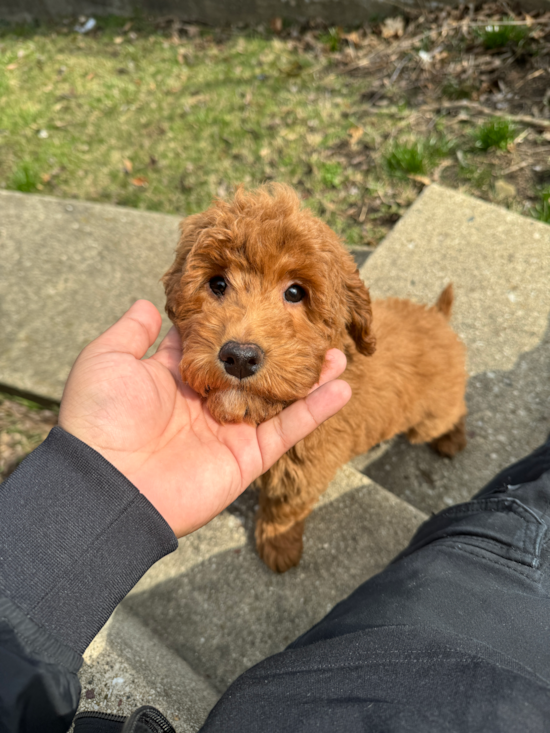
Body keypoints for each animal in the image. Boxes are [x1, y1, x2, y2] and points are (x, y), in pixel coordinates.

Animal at [164, 183, 470, 572]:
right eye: (217, 284)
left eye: (295, 292)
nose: (240, 357)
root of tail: (438, 317)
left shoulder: (303, 476)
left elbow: (284, 511)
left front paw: (279, 548)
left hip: (429, 419)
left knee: (452, 414)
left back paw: (452, 439)